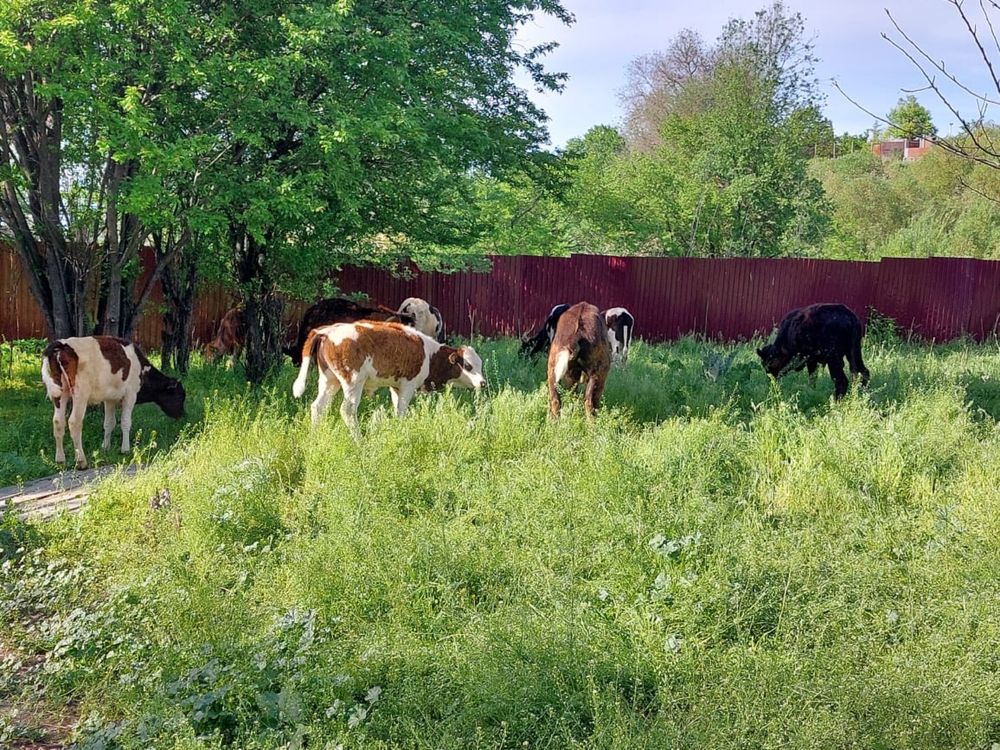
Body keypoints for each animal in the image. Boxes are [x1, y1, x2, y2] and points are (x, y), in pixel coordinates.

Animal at [40, 336, 186, 468]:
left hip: (60, 393)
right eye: (180, 396)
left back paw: (60, 460)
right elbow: (125, 422)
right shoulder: (130, 395)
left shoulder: (109, 399)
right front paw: (125, 449)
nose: (182, 414)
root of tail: (62, 344)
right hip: (80, 394)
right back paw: (81, 461)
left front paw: (105, 447)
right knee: (74, 422)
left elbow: (109, 423)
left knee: (58, 422)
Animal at [292, 320, 484, 432]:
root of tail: (327, 331)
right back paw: (359, 442)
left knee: (318, 407)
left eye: (480, 365)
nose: (482, 383)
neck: (429, 354)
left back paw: (315, 438)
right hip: (353, 382)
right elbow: (401, 412)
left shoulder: (395, 387)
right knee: (347, 410)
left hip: (329, 381)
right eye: (468, 365)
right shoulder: (408, 386)